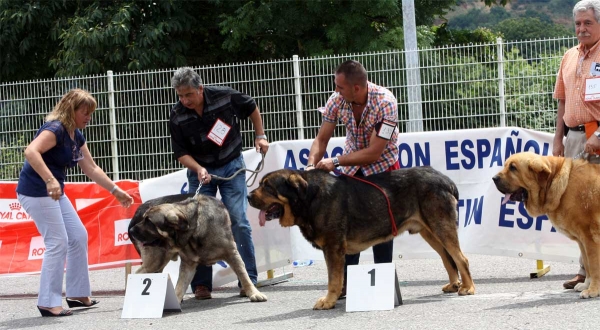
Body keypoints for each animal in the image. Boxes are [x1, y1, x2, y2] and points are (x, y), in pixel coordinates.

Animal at [129, 193, 268, 304]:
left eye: (149, 221)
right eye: (145, 219)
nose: (131, 231)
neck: (194, 225)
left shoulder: (231, 254)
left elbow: (244, 275)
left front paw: (253, 293)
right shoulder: (188, 264)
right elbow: (180, 285)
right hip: (156, 261)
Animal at [246, 168, 476, 310]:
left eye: (268, 187)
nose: (248, 196)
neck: (309, 198)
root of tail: (445, 180)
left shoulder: (333, 247)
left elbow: (333, 279)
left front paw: (328, 301)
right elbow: (339, 276)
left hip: (440, 226)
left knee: (461, 258)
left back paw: (468, 288)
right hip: (429, 231)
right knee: (448, 258)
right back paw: (454, 284)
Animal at [492, 152, 600, 300]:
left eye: (513, 168)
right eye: (506, 166)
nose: (494, 178)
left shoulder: (590, 238)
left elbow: (594, 266)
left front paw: (593, 290)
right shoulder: (582, 241)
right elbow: (588, 265)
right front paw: (586, 285)